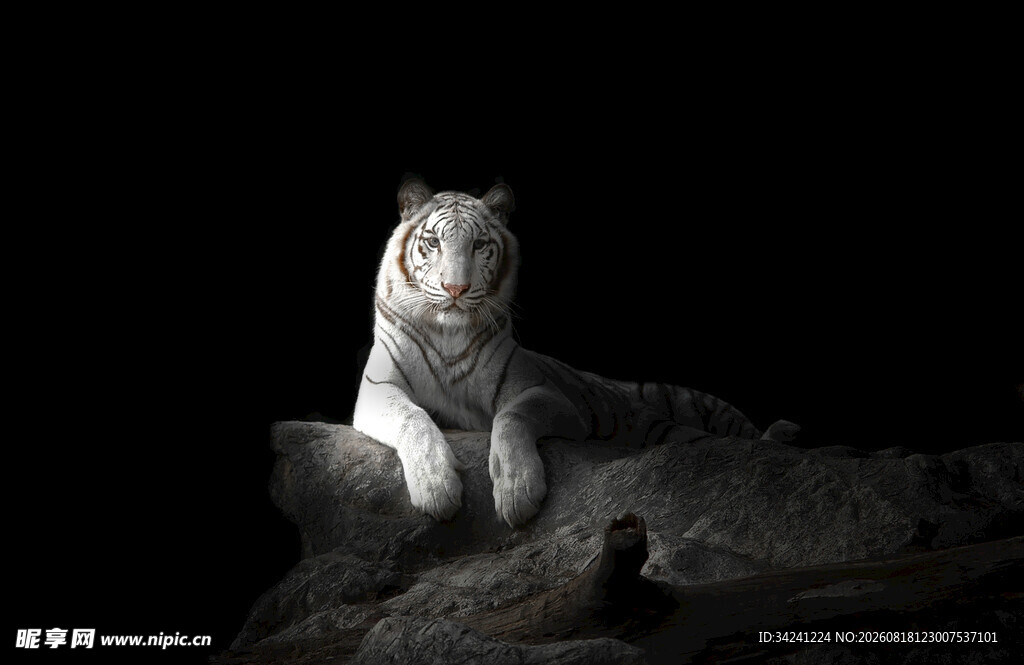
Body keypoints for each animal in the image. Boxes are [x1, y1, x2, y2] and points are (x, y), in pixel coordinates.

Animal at [352, 178, 798, 527]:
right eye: (432, 242)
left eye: (478, 244)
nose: (456, 289)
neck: (448, 332)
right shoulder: (377, 388)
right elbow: (413, 418)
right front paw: (436, 487)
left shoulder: (545, 393)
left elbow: (511, 417)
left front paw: (517, 490)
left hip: (700, 410)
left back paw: (784, 434)